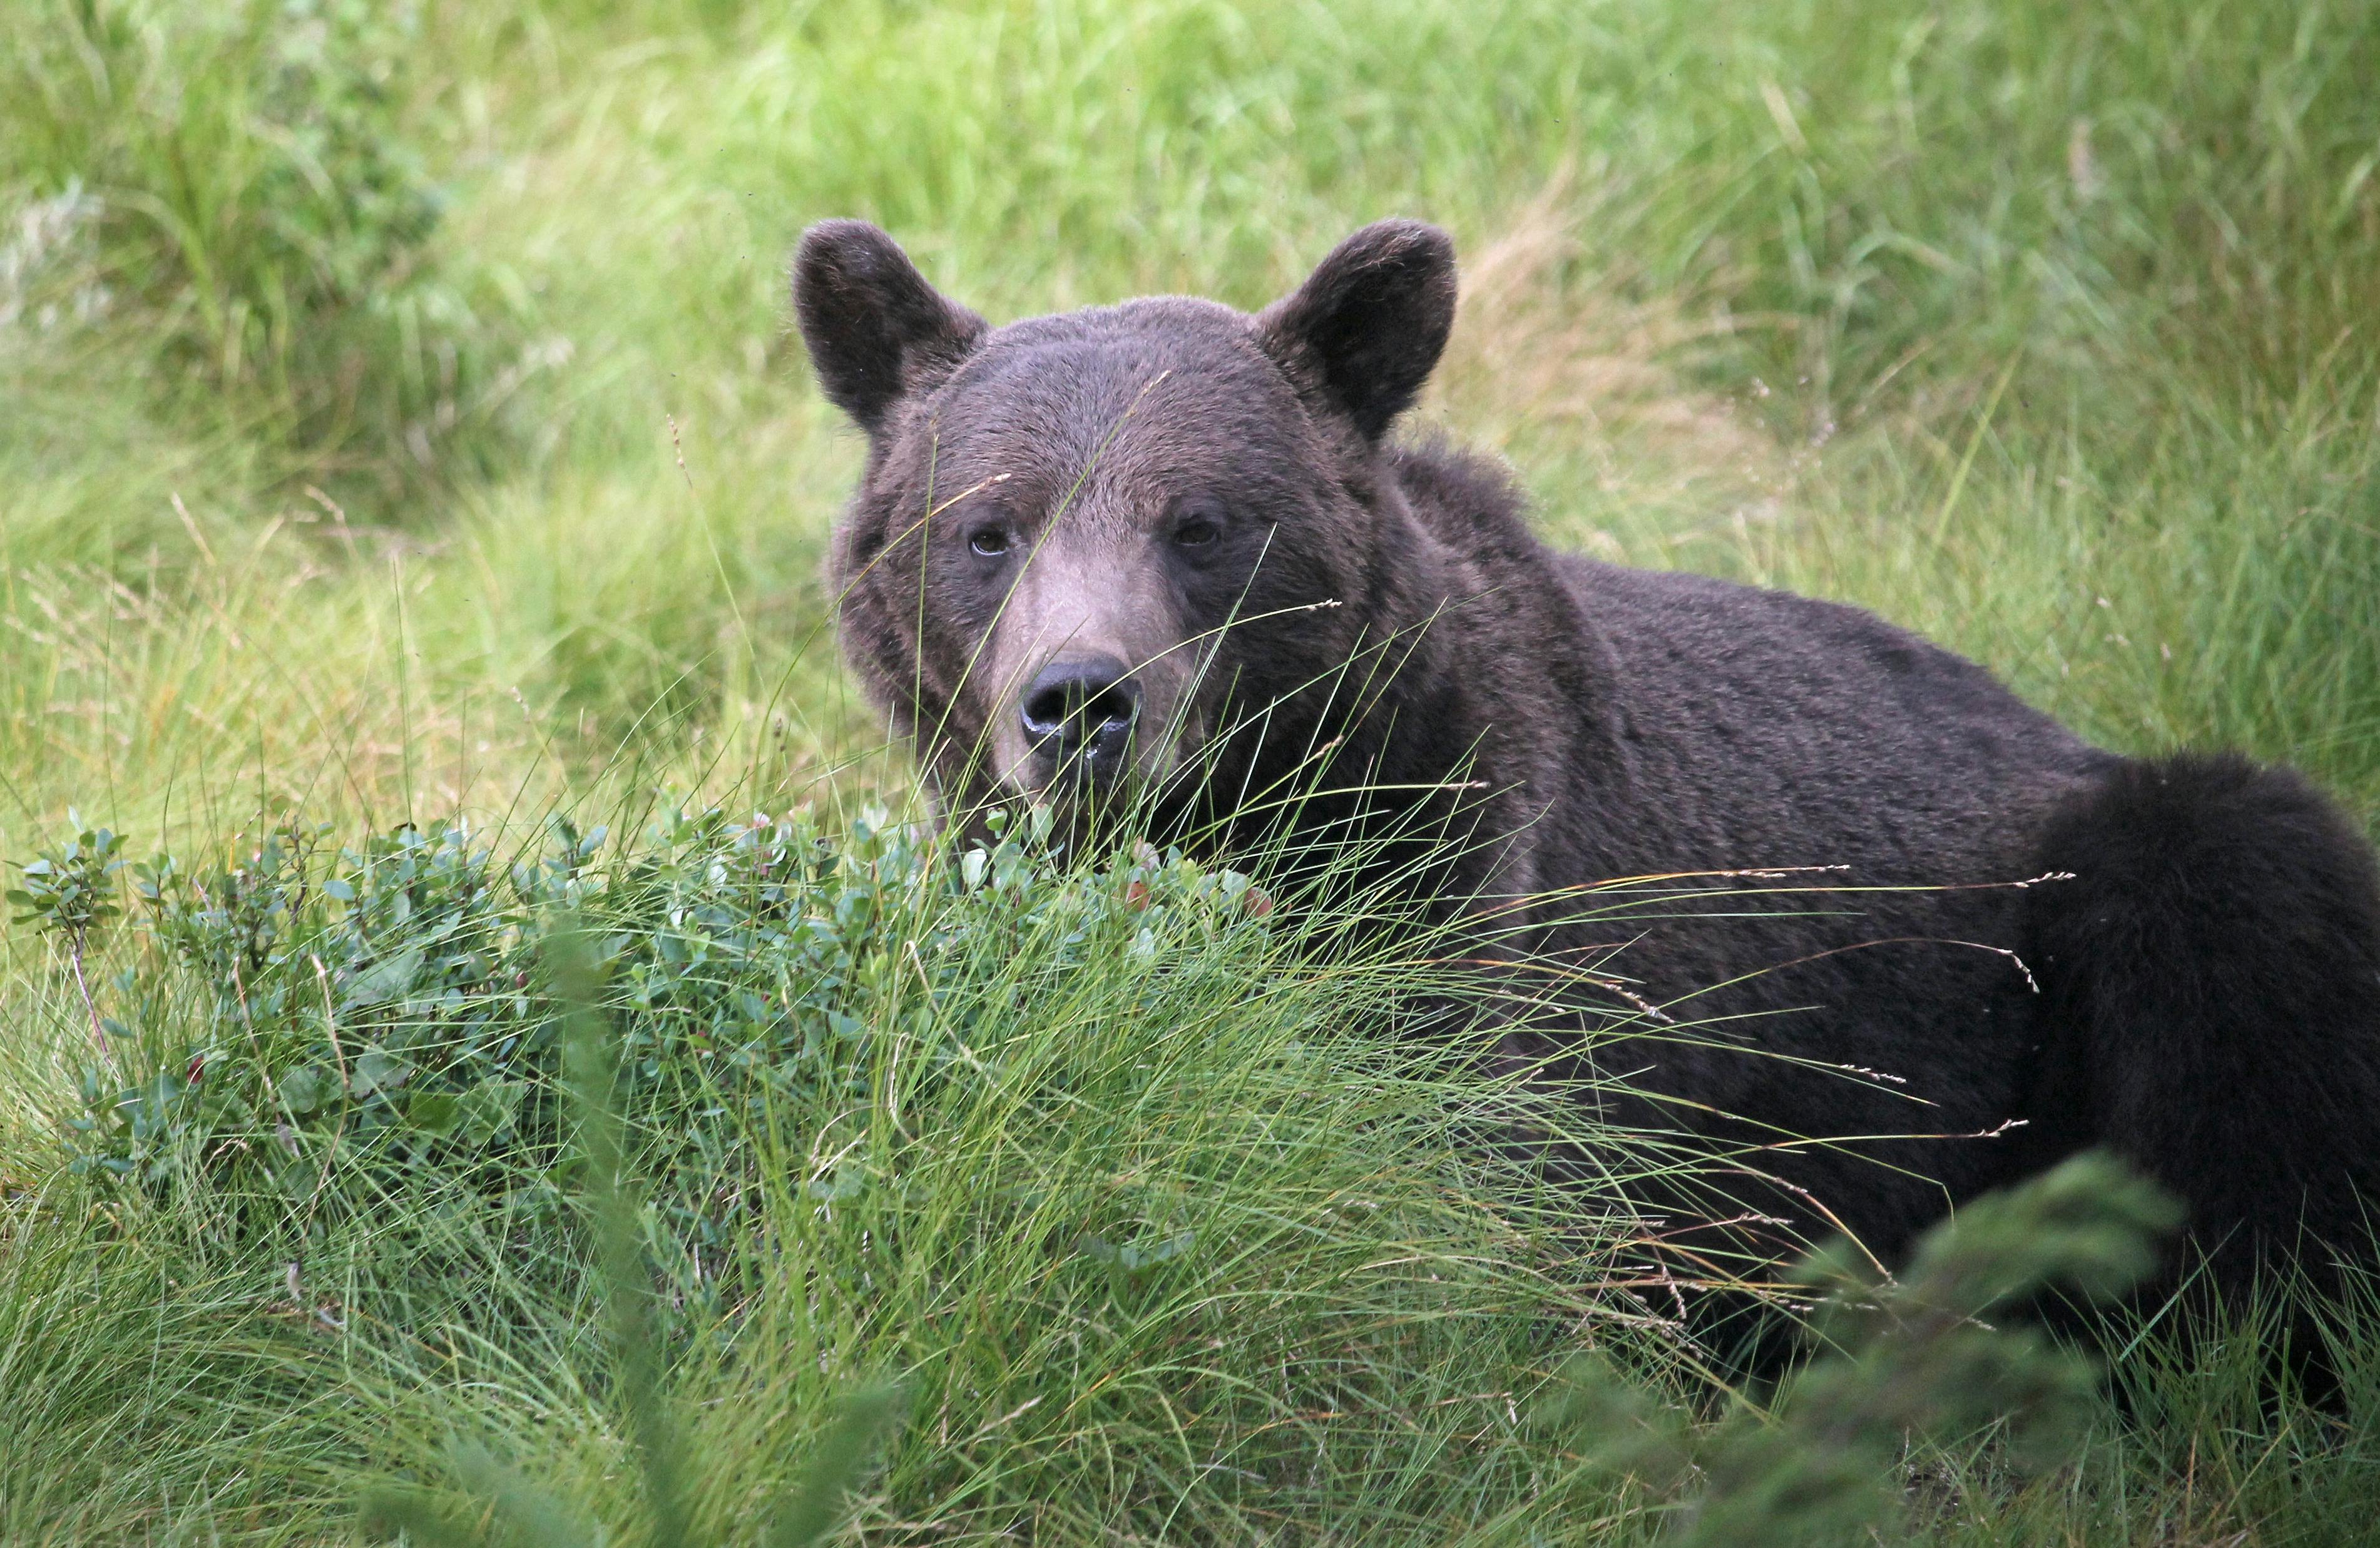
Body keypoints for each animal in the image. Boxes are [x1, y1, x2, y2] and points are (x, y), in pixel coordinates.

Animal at [791, 215, 2380, 1315]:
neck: (1271, 810)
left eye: (1202, 523)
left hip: (2085, 912)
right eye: (986, 528)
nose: (1080, 704)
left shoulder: (1479, 895)